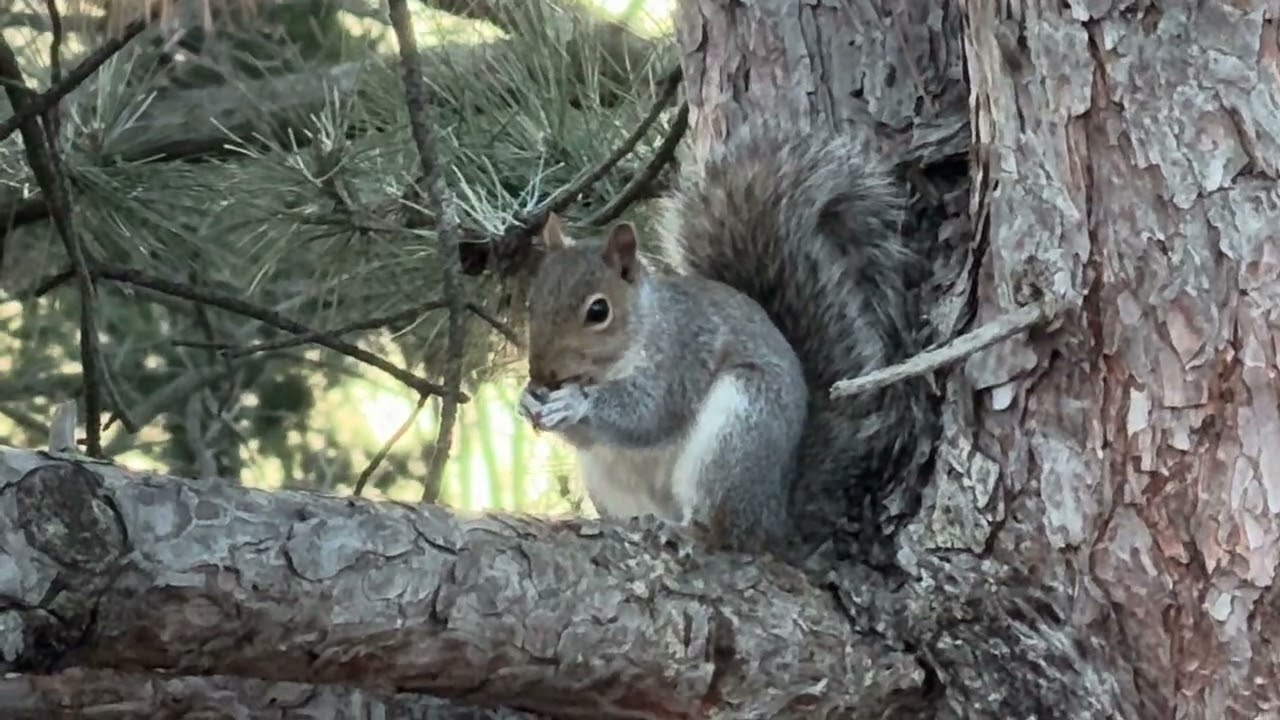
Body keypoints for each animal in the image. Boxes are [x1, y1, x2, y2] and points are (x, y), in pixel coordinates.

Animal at [517, 120, 929, 555]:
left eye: (598, 311)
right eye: (531, 301)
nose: (541, 375)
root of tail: (777, 516)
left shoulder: (681, 354)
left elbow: (648, 414)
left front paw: (575, 402)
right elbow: (588, 438)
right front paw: (528, 402)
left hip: (737, 430)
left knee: (729, 531)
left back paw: (690, 530)